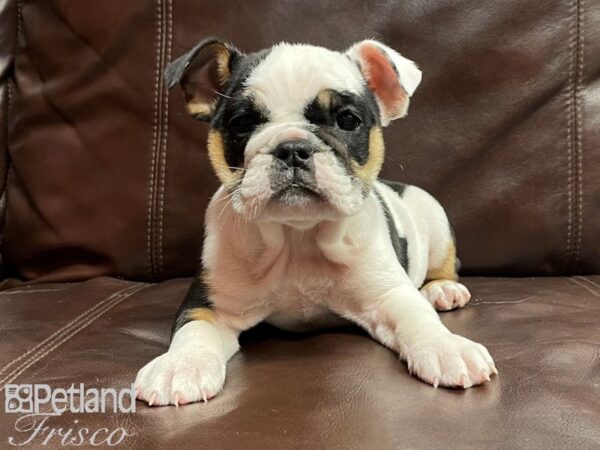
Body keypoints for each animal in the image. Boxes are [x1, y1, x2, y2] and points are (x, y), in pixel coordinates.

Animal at [135, 37, 496, 404]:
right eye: (241, 123)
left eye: (347, 121)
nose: (293, 147)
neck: (298, 235)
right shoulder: (209, 303)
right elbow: (194, 329)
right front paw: (180, 365)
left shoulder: (389, 295)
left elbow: (417, 315)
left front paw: (447, 347)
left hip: (435, 221)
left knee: (444, 266)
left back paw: (444, 290)